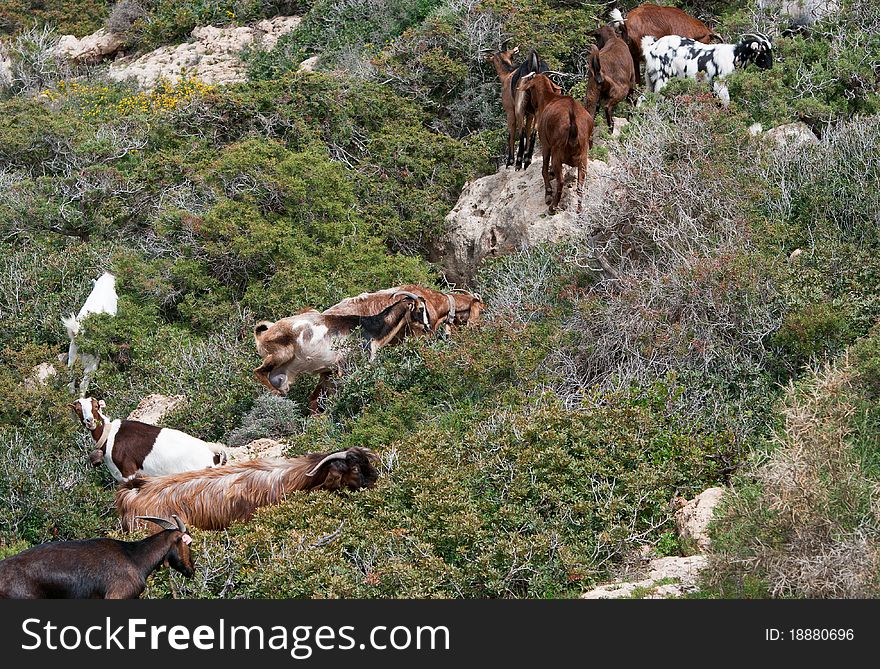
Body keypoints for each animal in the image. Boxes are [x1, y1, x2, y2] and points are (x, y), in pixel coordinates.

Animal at [71, 394, 229, 482]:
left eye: (96, 406)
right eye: (78, 409)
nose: (90, 421)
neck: (110, 436)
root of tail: (213, 455)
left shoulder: (129, 472)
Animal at [520, 73, 596, 214]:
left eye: (529, 91)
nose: (528, 109)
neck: (548, 98)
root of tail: (573, 126)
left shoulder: (546, 145)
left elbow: (544, 169)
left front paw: (548, 193)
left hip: (557, 155)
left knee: (560, 182)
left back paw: (553, 207)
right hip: (583, 159)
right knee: (580, 185)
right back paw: (579, 209)